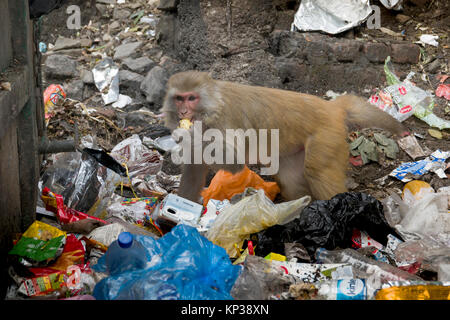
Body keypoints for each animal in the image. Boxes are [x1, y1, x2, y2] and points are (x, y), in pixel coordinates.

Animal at [162, 71, 408, 204]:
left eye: (191, 98)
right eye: (179, 98)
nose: (183, 112)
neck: (212, 105)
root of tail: (331, 107)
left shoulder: (224, 122)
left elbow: (235, 163)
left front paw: (189, 135)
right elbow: (194, 169)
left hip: (326, 137)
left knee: (317, 171)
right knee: (290, 178)